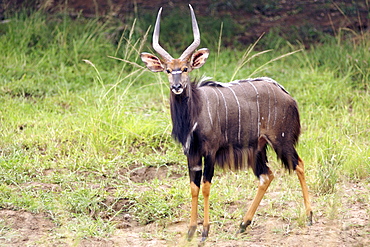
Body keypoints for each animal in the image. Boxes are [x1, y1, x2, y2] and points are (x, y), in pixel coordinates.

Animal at [140, 4, 314, 242]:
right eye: (168, 70)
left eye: (185, 69)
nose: (176, 86)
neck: (194, 113)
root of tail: (289, 96)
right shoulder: (192, 154)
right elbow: (193, 187)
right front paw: (190, 231)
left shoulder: (211, 151)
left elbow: (205, 186)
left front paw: (205, 232)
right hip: (258, 148)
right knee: (266, 176)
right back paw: (243, 224)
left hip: (281, 141)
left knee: (299, 164)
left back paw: (309, 217)